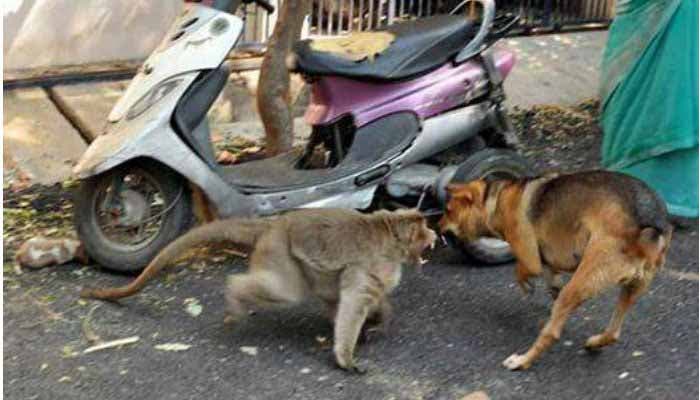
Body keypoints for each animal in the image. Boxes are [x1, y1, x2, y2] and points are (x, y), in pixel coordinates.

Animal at [79, 208, 434, 374]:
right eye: (425, 228)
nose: (433, 234)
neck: (390, 234)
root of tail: (275, 224)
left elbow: (355, 298)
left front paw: (380, 322)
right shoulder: (372, 264)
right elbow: (353, 302)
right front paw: (346, 358)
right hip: (279, 251)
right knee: (286, 291)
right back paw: (234, 296)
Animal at [440, 170, 676, 370]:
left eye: (448, 211)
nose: (437, 226)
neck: (495, 200)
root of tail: (649, 225)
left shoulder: (530, 258)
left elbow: (521, 270)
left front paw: (526, 286)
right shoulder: (551, 265)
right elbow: (551, 282)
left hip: (579, 285)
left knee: (551, 332)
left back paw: (522, 361)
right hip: (631, 289)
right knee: (614, 332)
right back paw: (594, 343)